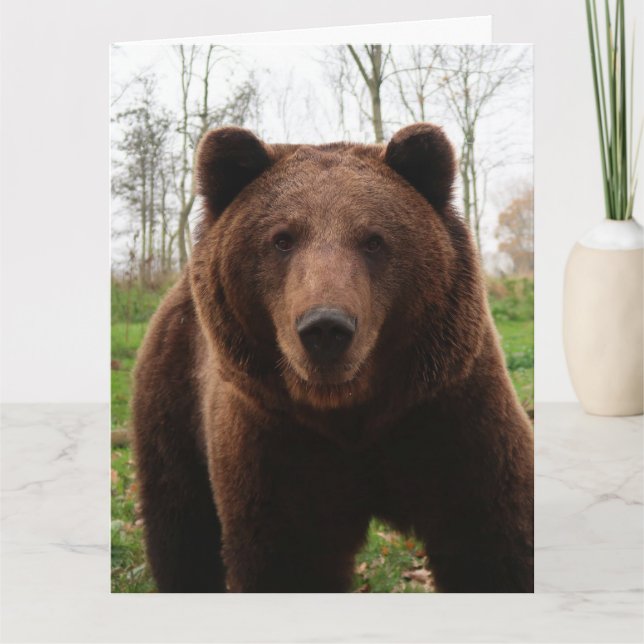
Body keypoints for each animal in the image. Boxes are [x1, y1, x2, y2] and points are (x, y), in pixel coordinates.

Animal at [131, 123, 534, 593]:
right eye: (282, 239)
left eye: (374, 240)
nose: (325, 327)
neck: (352, 415)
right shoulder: (278, 443)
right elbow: (290, 560)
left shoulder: (447, 414)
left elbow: (493, 540)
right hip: (173, 401)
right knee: (180, 529)